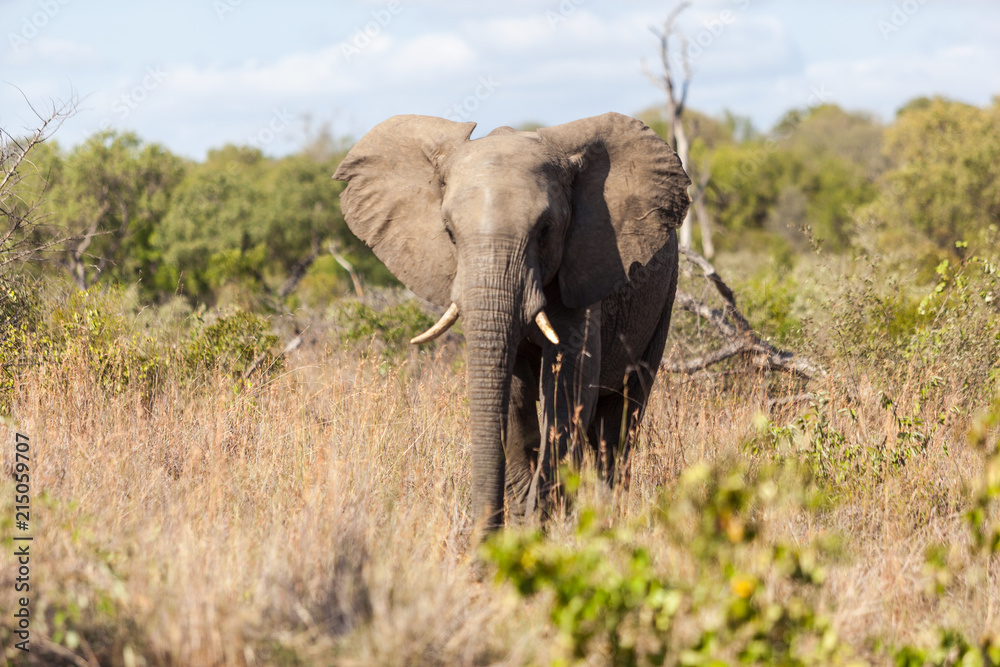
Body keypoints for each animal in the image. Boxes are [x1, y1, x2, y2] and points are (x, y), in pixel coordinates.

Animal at [332, 113, 692, 532]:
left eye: (546, 230)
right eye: (449, 233)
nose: (480, 539)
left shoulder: (585, 269)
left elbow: (568, 384)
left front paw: (545, 520)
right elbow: (514, 402)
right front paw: (526, 523)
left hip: (664, 298)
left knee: (619, 420)